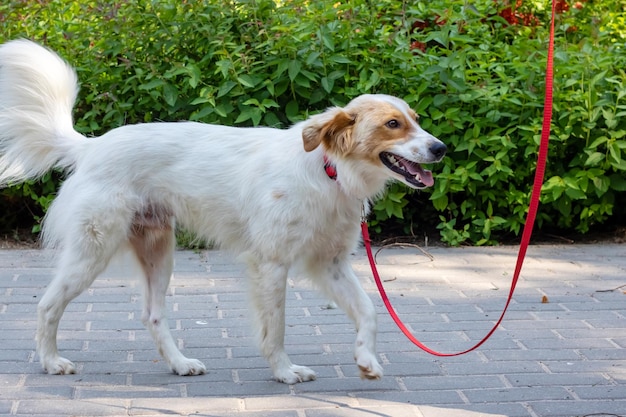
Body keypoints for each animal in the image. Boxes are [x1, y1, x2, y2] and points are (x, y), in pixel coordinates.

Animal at [0, 40, 444, 382]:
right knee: (47, 305)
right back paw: (50, 361)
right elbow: (276, 329)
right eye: (392, 124)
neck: (328, 171)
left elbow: (369, 310)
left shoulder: (330, 263)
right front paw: (284, 372)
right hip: (93, 250)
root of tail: (92, 146)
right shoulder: (272, 264)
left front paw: (366, 359)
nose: (440, 148)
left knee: (152, 315)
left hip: (158, 252)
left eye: (416, 120)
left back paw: (180, 364)